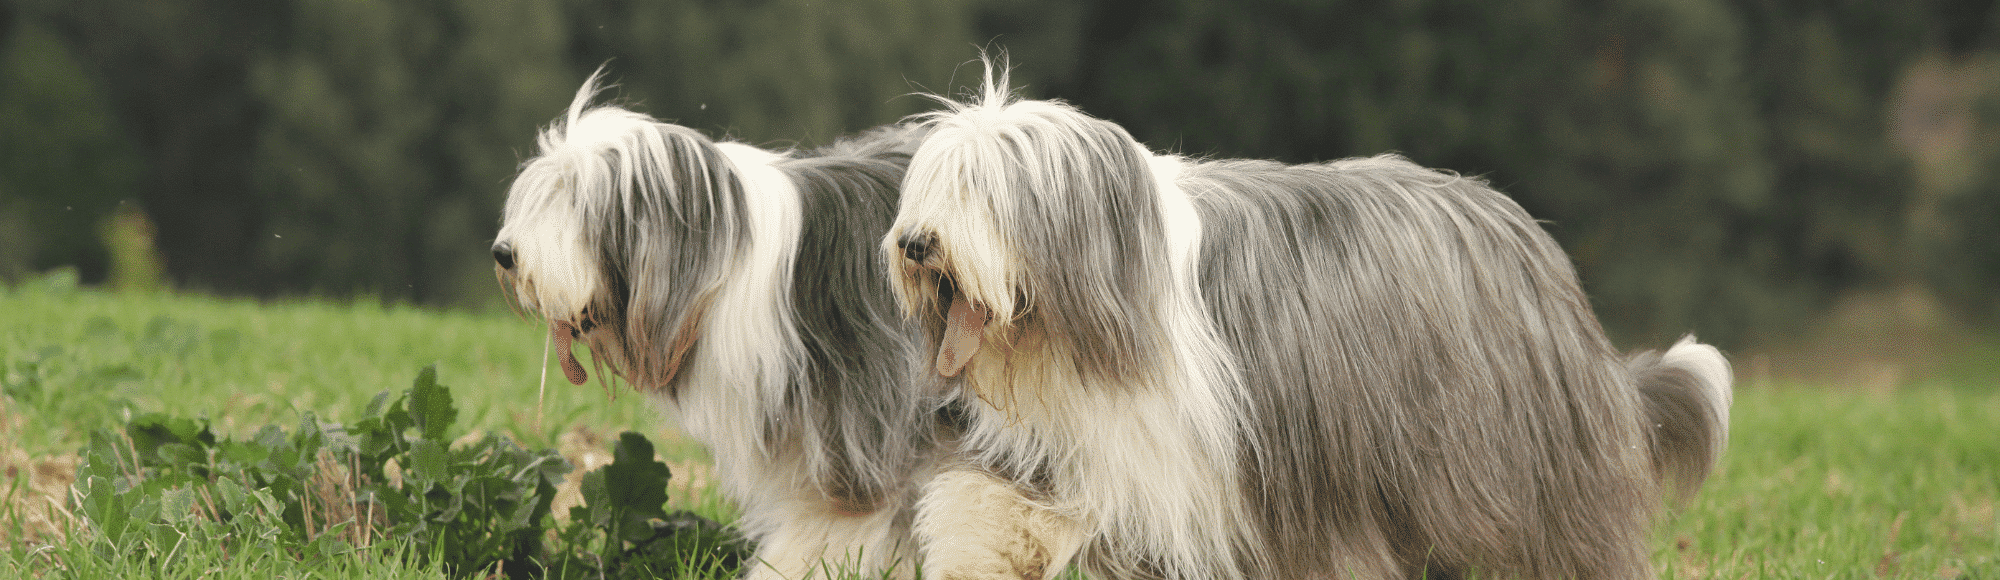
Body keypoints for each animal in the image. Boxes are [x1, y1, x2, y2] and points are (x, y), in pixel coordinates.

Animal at [884, 61, 1728, 576]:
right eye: (932, 183)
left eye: (982, 188)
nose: (917, 244)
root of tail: (1523, 232)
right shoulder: (1089, 446)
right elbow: (995, 507)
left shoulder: (1218, 472)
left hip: (1500, 456)